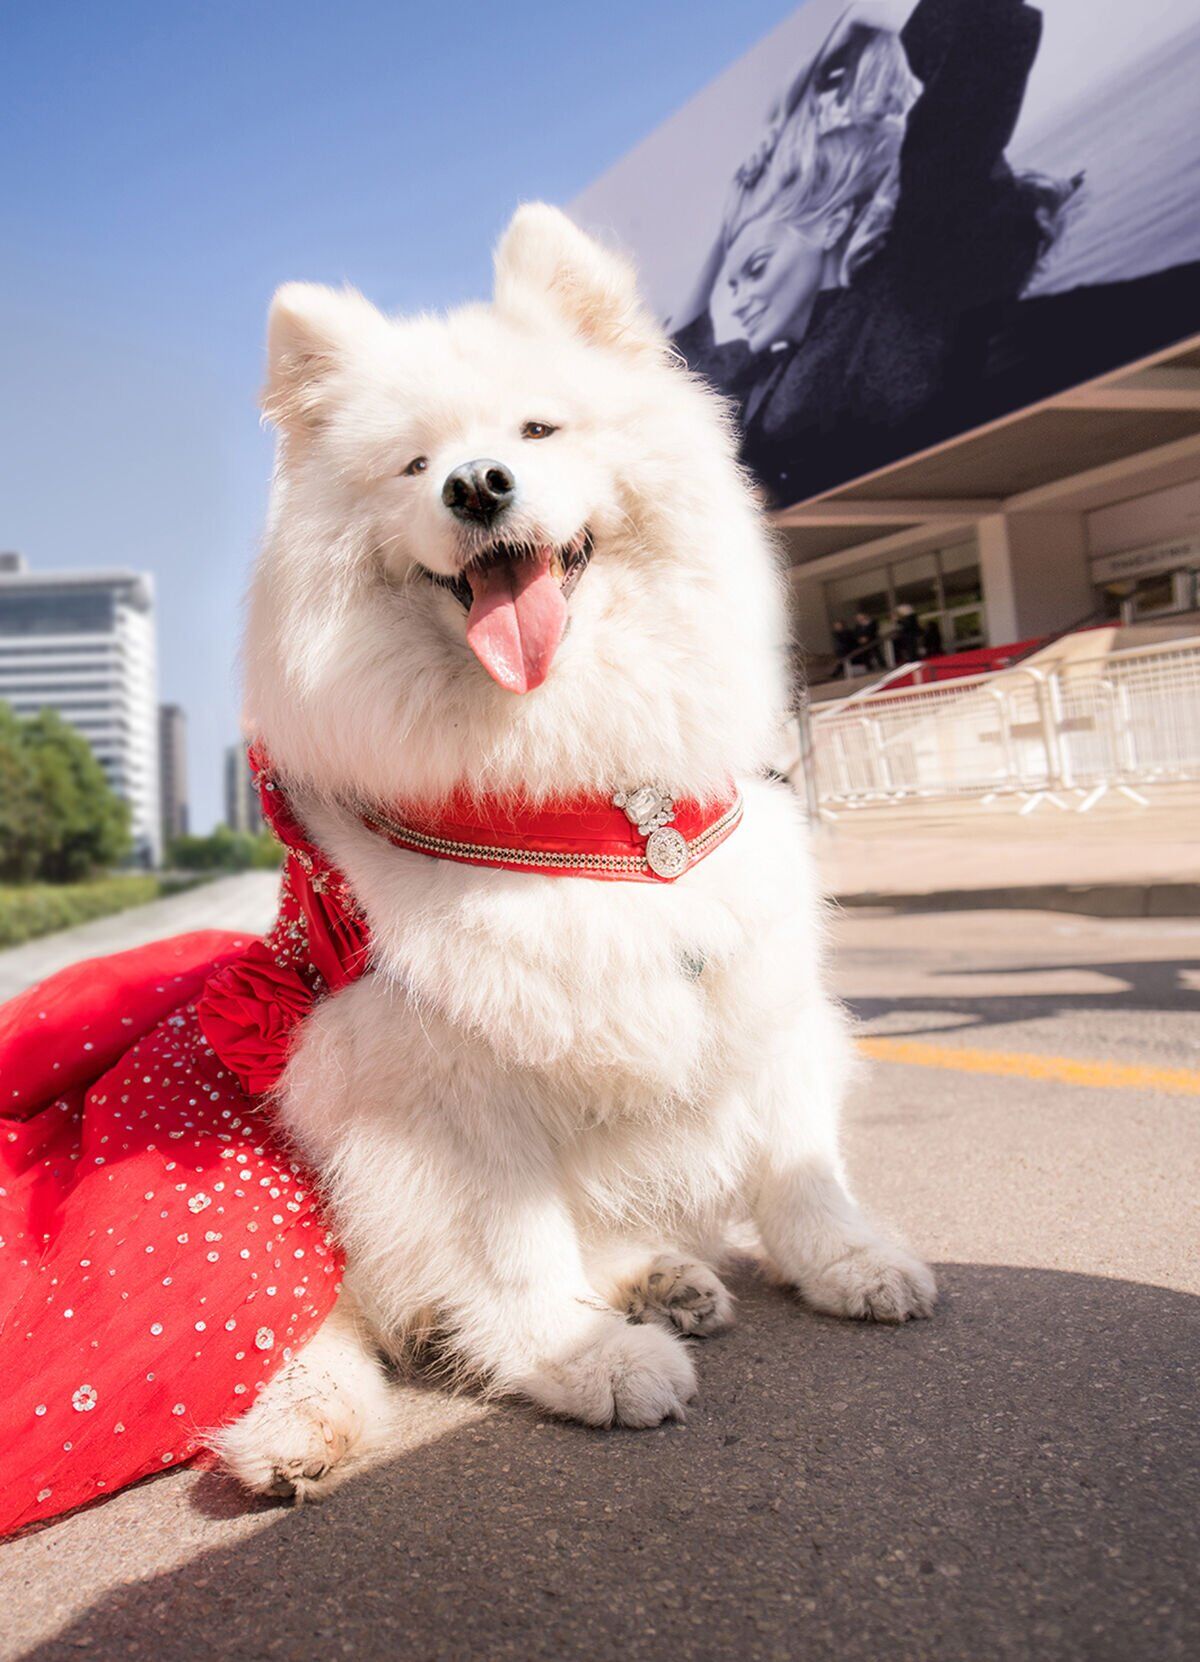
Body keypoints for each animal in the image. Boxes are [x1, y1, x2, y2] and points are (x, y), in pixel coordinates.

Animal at [210, 201, 930, 1502]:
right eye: (411, 466)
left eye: (537, 430)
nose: (478, 484)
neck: (587, 799)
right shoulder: (445, 1095)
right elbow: (510, 1253)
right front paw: (578, 1360)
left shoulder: (750, 987)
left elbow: (800, 1163)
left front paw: (849, 1260)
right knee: (330, 1321)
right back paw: (303, 1429)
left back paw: (665, 1281)